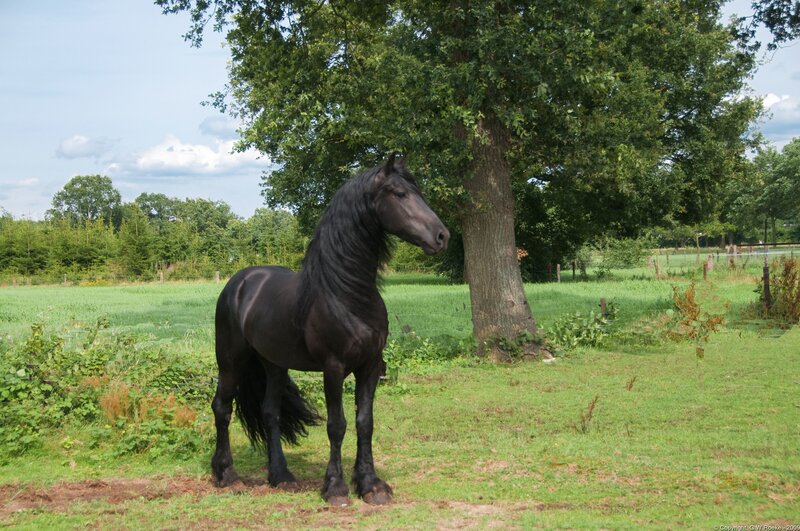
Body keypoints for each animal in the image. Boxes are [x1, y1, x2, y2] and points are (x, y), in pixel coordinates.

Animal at [211, 153, 449, 506]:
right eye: (399, 193)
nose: (442, 236)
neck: (346, 294)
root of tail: (239, 282)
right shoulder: (334, 368)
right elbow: (337, 425)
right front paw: (336, 487)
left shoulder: (370, 366)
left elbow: (365, 423)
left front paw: (371, 485)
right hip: (231, 361)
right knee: (222, 408)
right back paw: (226, 475)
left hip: (274, 364)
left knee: (270, 413)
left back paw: (281, 476)